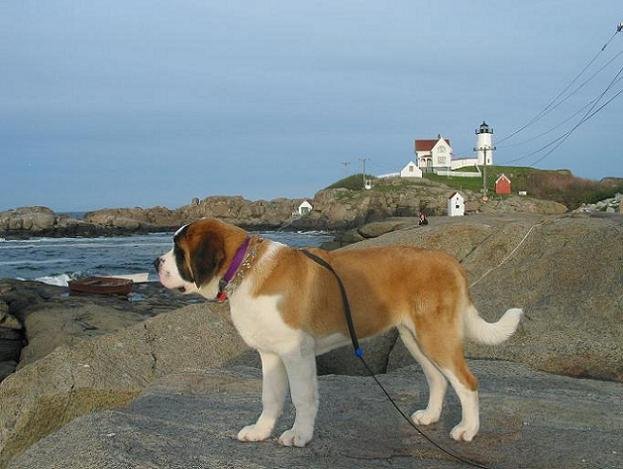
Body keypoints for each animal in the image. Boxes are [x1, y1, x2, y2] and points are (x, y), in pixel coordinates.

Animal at [155, 218, 522, 447]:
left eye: (178, 250)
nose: (157, 262)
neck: (246, 268)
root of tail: (450, 262)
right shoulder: (271, 355)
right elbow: (270, 397)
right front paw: (261, 431)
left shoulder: (297, 354)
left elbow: (302, 398)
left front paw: (298, 436)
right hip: (414, 337)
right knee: (438, 379)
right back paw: (430, 416)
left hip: (436, 336)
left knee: (466, 382)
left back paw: (467, 430)